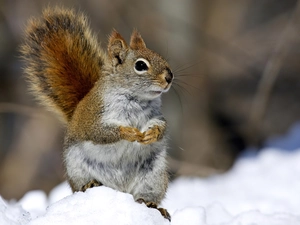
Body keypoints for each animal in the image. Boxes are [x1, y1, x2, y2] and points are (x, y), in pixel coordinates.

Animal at [21, 7, 173, 221]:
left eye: (159, 55)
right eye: (141, 66)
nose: (169, 76)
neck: (136, 99)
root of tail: (120, 190)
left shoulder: (156, 115)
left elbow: (162, 125)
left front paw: (152, 134)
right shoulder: (94, 116)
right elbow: (100, 132)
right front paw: (129, 133)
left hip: (154, 177)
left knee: (145, 196)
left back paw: (152, 206)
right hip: (77, 167)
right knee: (82, 185)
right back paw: (91, 184)